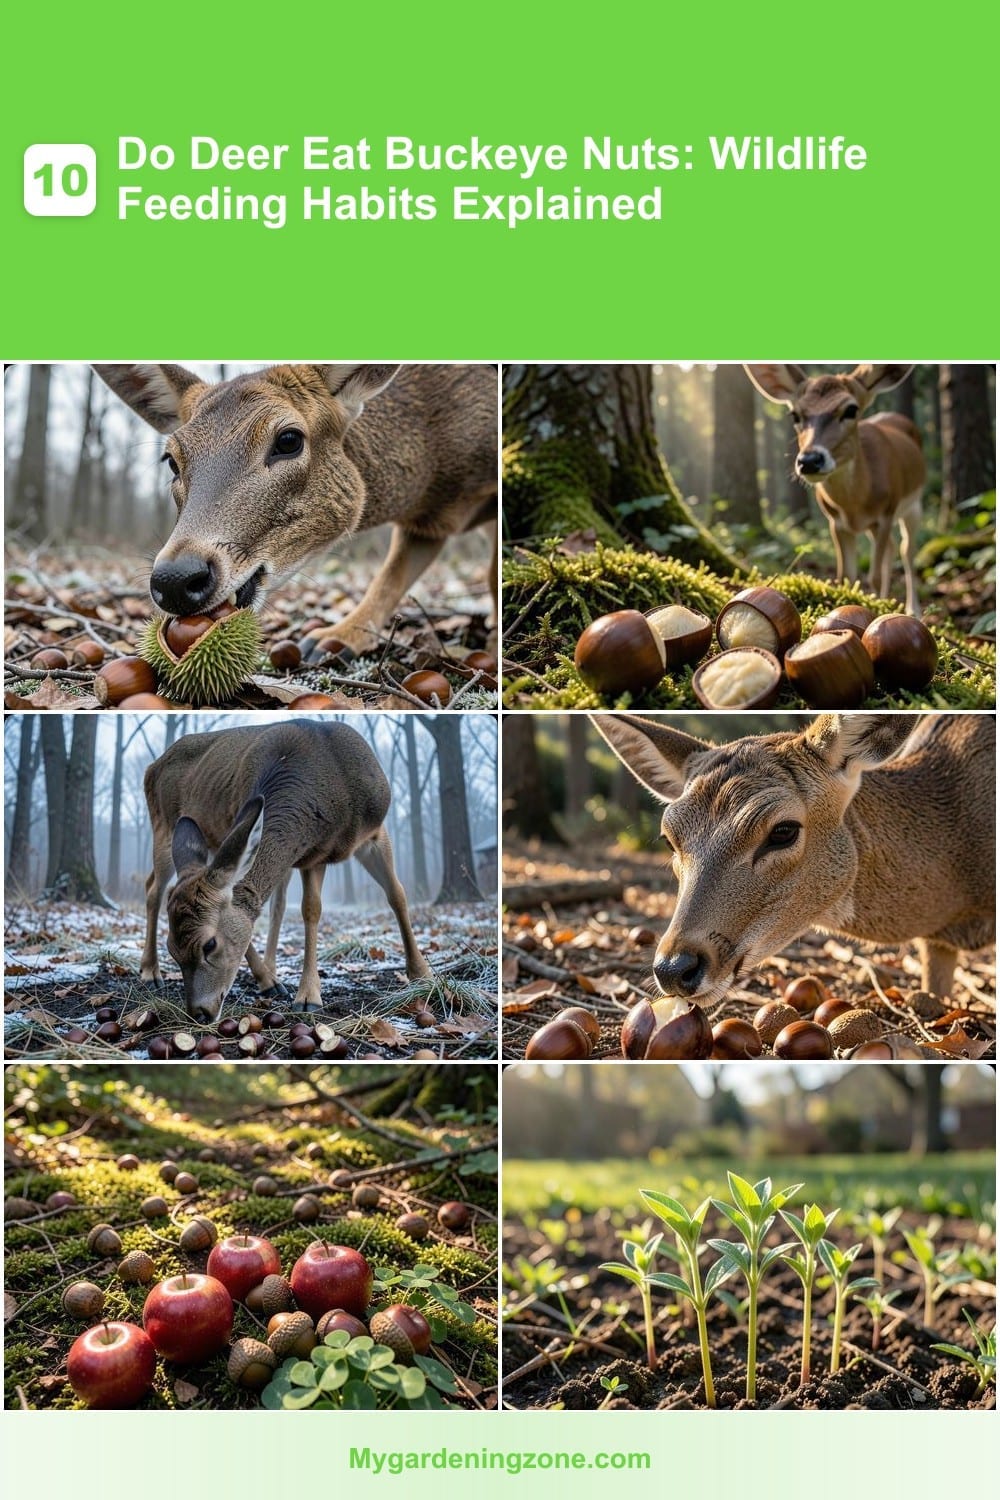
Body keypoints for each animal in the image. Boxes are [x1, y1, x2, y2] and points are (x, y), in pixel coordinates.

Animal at [93, 362, 498, 659]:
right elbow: (391, 578)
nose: (175, 579)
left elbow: (492, 572)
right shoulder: (426, 524)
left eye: (288, 440)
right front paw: (332, 639)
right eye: (172, 461)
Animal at [140, 720, 430, 1022]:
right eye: (172, 949)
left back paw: (269, 975)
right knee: (154, 889)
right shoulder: (311, 853)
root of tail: (151, 768)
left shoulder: (368, 834)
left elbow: (396, 895)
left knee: (271, 905)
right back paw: (151, 973)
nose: (198, 1013)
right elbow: (310, 910)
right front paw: (309, 997)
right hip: (164, 825)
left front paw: (422, 973)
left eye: (209, 944)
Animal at [744, 364, 926, 616]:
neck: (856, 505)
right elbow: (846, 576)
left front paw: (877, 609)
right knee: (891, 547)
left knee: (907, 550)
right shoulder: (836, 521)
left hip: (913, 503)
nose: (810, 460)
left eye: (851, 409)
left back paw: (912, 609)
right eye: (795, 415)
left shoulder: (886, 513)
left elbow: (874, 575)